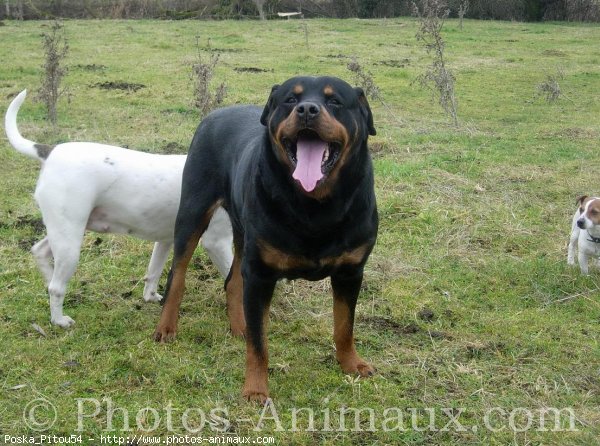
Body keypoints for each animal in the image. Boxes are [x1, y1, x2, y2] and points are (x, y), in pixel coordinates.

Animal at [155, 76, 380, 400]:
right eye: (290, 99)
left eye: (335, 101)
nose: (307, 110)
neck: (315, 205)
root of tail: (213, 115)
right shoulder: (261, 274)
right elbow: (259, 343)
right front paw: (255, 389)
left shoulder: (350, 271)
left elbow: (344, 325)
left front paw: (351, 363)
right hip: (192, 211)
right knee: (178, 273)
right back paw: (167, 327)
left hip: (243, 233)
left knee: (233, 280)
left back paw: (240, 325)